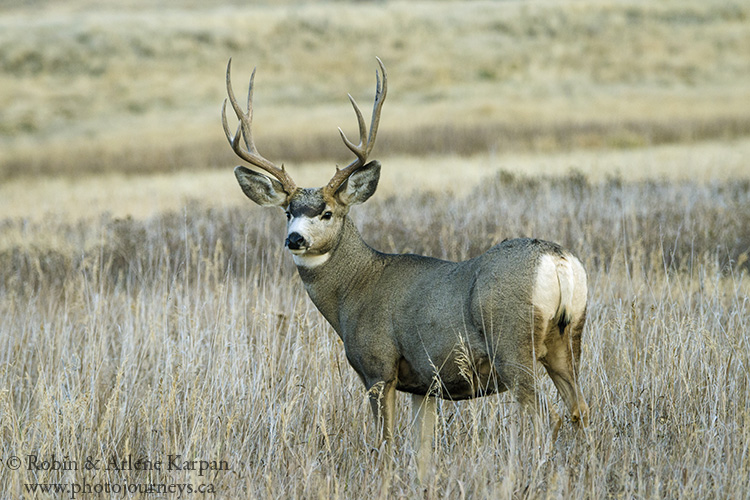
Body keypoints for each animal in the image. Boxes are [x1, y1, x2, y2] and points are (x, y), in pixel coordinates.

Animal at [220, 57, 592, 476]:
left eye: (327, 212)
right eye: (287, 212)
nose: (295, 239)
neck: (354, 290)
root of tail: (558, 261)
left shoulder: (378, 367)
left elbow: (386, 443)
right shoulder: (423, 384)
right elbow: (422, 449)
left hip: (513, 343)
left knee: (545, 415)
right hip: (568, 338)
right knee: (580, 409)